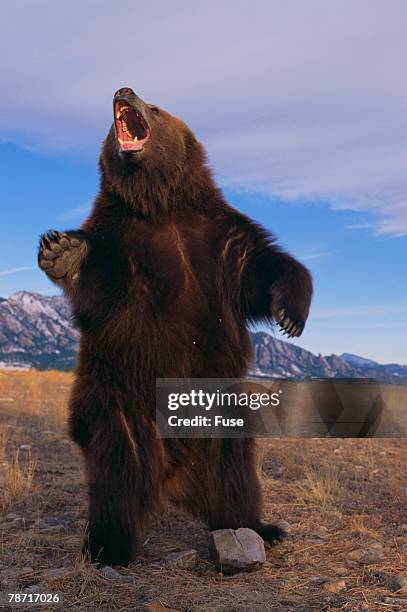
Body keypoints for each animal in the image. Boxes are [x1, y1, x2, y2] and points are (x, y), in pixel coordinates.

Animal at [38, 86, 312, 564]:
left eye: (155, 107)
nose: (124, 90)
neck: (160, 204)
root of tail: (174, 473)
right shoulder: (123, 240)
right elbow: (101, 287)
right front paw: (64, 252)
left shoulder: (220, 239)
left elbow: (264, 267)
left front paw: (290, 314)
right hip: (121, 409)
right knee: (116, 478)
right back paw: (108, 546)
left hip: (220, 421)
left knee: (235, 474)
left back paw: (257, 527)